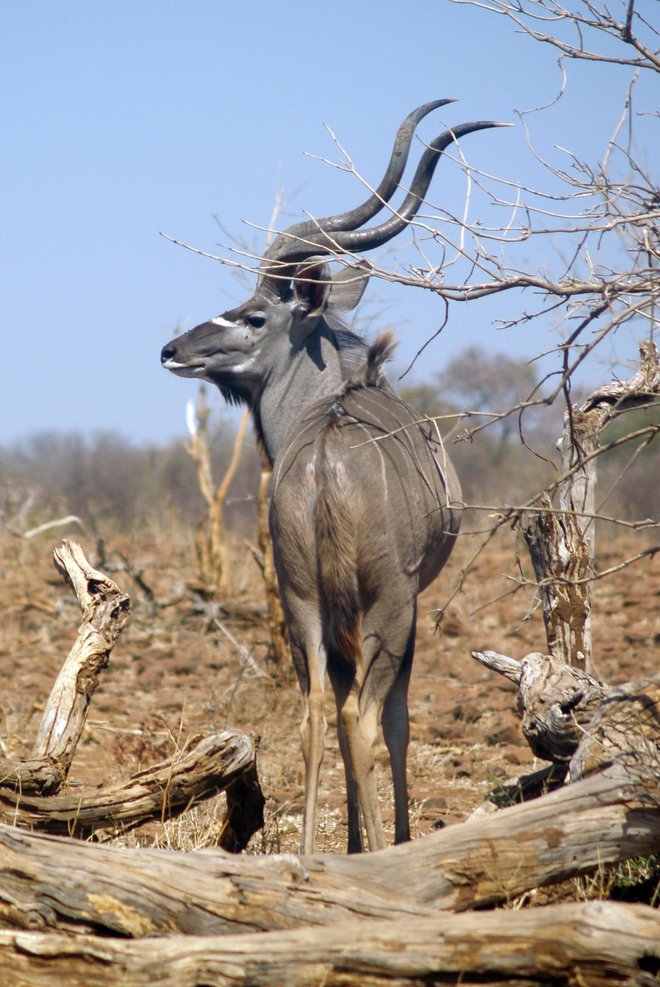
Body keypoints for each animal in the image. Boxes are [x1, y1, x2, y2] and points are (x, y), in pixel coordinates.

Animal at [161, 104, 500, 852]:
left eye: (255, 315)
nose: (170, 349)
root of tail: (324, 462)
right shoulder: (405, 605)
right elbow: (395, 722)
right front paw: (384, 839)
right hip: (383, 606)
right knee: (362, 719)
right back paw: (378, 850)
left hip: (304, 603)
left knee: (318, 712)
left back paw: (316, 854)